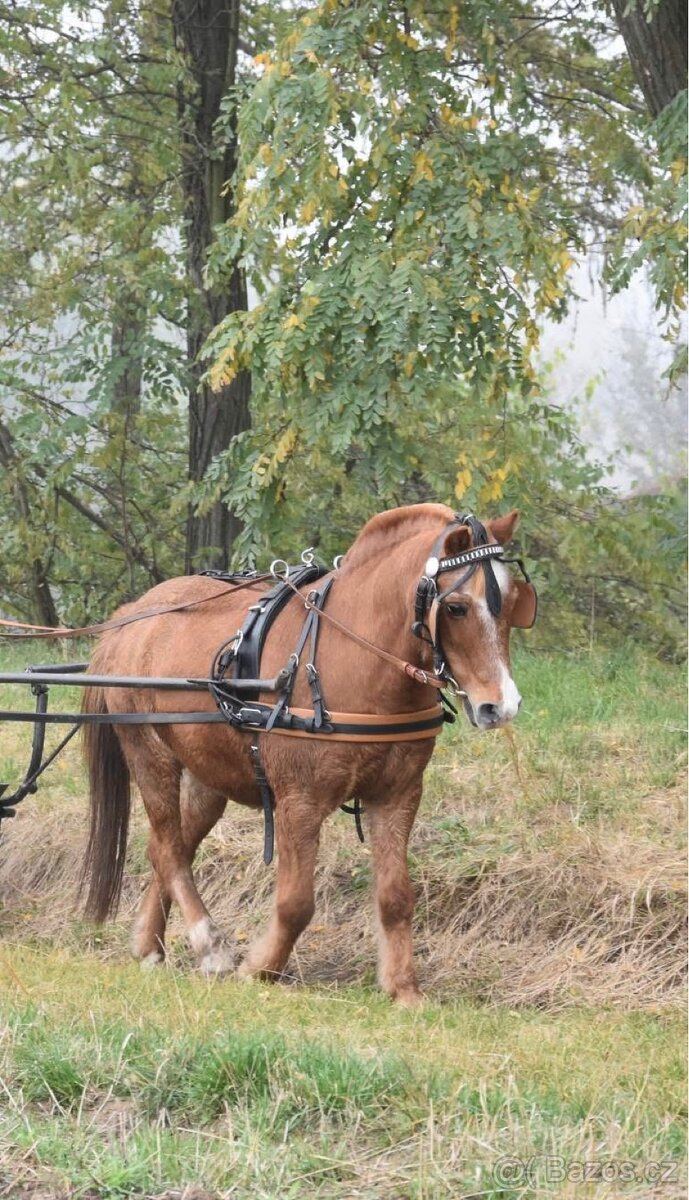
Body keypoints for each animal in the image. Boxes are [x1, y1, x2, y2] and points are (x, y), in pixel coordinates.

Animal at [81, 502, 535, 1005]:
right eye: (456, 608)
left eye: (515, 602)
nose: (501, 706)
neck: (358, 659)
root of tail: (131, 616)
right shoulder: (300, 800)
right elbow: (297, 902)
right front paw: (260, 969)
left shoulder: (397, 796)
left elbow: (396, 896)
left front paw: (402, 988)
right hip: (149, 752)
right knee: (170, 848)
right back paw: (209, 945)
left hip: (209, 776)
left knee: (167, 845)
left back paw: (149, 944)